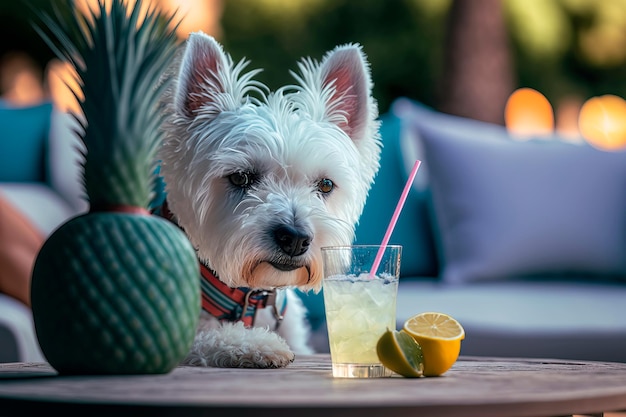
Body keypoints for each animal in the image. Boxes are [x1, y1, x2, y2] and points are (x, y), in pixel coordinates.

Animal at [156, 32, 380, 368]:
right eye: (240, 178)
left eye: (326, 184)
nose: (295, 239)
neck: (249, 299)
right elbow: (205, 339)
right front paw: (260, 345)